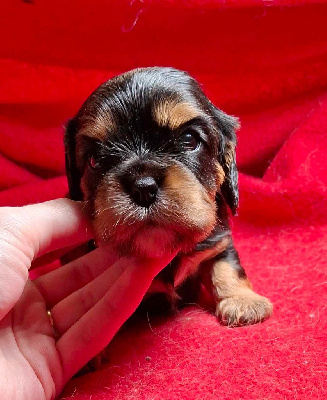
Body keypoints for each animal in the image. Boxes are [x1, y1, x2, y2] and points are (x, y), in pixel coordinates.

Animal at [65, 67, 272, 326]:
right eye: (95, 159)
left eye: (189, 139)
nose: (143, 187)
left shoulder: (219, 241)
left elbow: (227, 265)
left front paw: (243, 301)